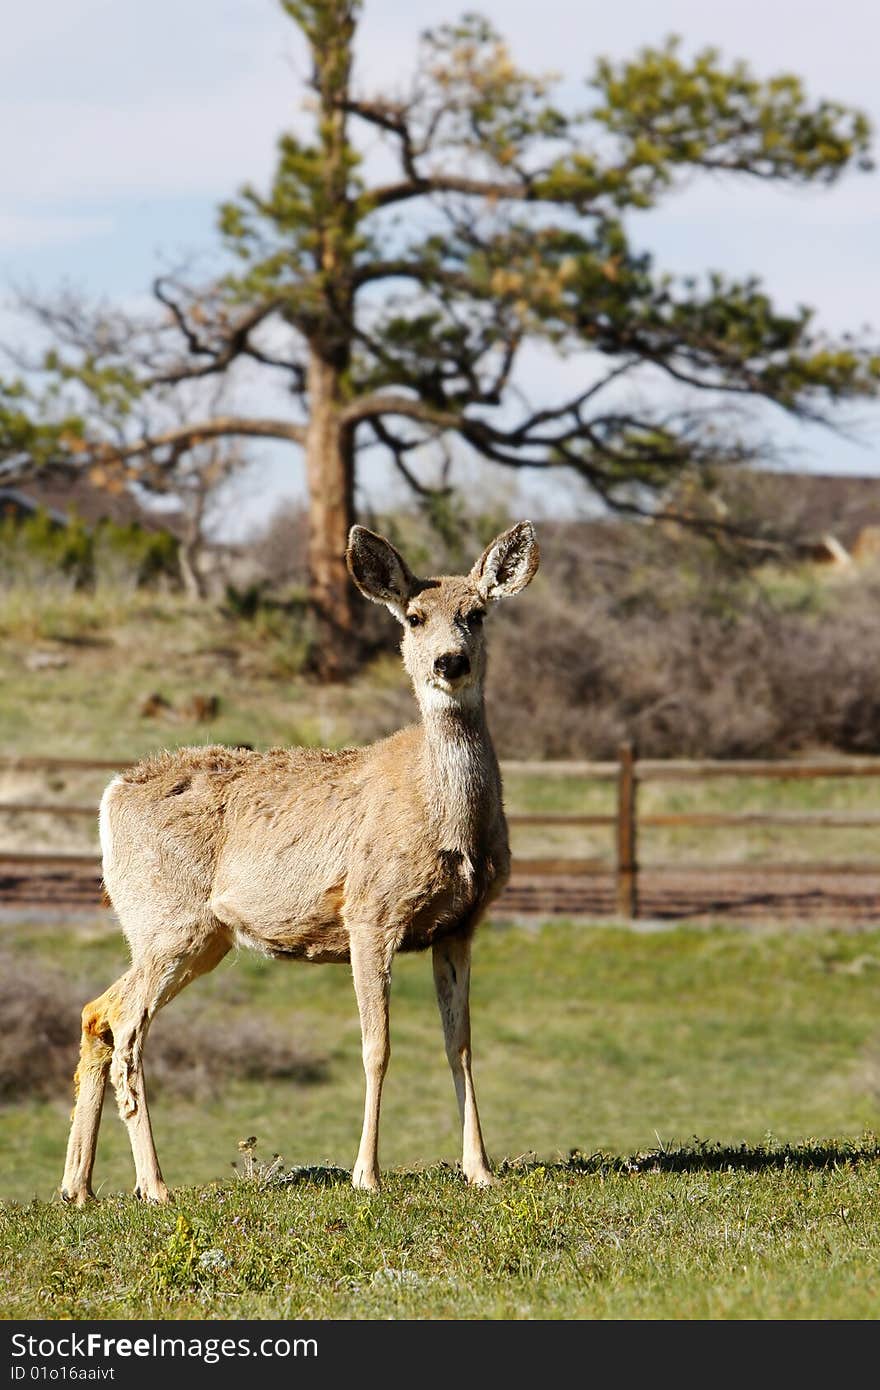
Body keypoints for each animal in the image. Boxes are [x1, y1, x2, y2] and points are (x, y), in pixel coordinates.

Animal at [60, 522, 536, 1206]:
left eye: (476, 614)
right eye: (414, 617)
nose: (450, 661)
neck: (445, 817)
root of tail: (110, 794)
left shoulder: (459, 927)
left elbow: (462, 1045)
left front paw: (480, 1169)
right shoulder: (370, 913)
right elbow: (376, 1045)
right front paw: (366, 1175)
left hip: (192, 936)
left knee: (97, 1011)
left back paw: (79, 1188)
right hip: (168, 920)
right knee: (127, 1026)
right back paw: (154, 1186)